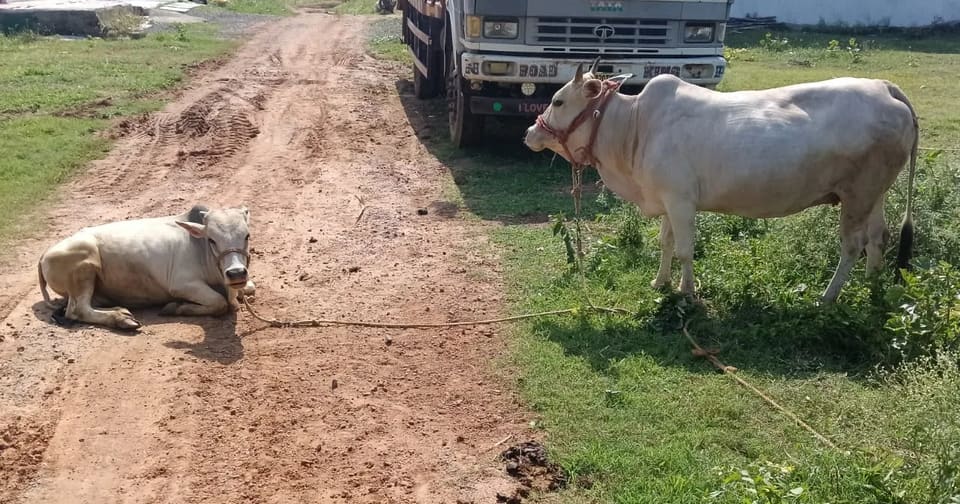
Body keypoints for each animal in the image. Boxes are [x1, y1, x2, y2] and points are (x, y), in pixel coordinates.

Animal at [37, 204, 255, 330]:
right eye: (212, 240)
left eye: (247, 235)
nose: (236, 273)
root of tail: (44, 255)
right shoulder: (182, 285)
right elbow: (220, 303)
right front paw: (175, 307)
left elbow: (249, 287)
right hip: (84, 266)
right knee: (77, 310)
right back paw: (121, 319)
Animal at [524, 62, 918, 304]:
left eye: (558, 100)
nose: (530, 133)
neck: (634, 125)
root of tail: (885, 87)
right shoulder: (668, 200)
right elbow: (666, 243)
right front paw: (660, 282)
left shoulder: (681, 201)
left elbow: (684, 249)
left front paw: (687, 292)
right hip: (874, 194)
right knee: (877, 237)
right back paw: (869, 284)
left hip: (857, 196)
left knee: (852, 245)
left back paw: (828, 297)